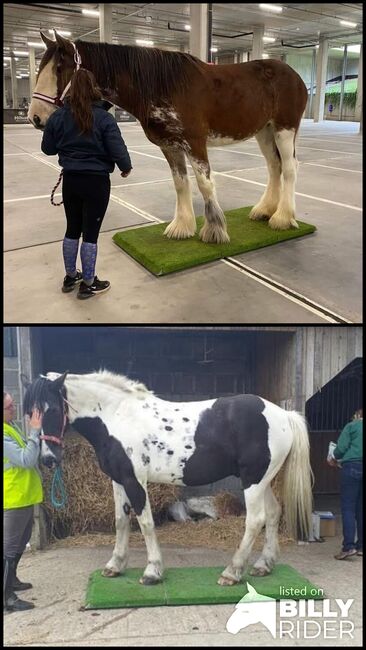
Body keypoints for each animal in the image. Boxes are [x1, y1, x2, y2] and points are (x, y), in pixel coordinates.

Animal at [22, 368, 314, 584]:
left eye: (52, 410)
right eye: (29, 413)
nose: (48, 459)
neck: (117, 416)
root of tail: (284, 415)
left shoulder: (135, 480)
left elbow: (145, 523)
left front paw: (152, 571)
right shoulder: (118, 480)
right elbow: (120, 521)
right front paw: (115, 565)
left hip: (253, 480)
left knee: (255, 520)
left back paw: (232, 572)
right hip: (262, 480)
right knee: (274, 513)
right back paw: (263, 565)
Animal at [28, 31, 308, 243]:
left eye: (59, 69)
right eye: (40, 68)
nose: (35, 117)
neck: (164, 85)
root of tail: (294, 75)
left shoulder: (195, 143)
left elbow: (204, 184)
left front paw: (214, 231)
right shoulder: (170, 146)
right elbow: (180, 183)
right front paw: (182, 227)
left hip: (284, 130)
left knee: (289, 168)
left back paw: (282, 218)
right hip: (264, 131)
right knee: (274, 166)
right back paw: (265, 211)